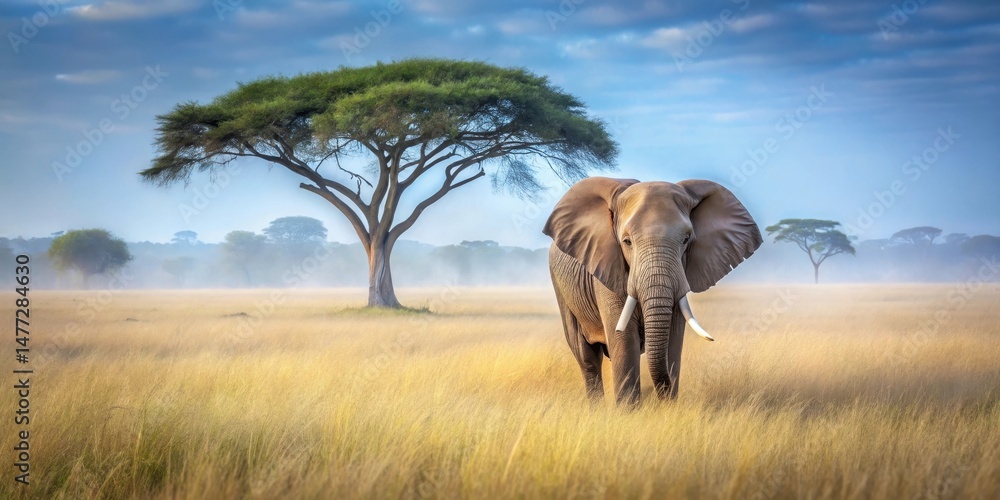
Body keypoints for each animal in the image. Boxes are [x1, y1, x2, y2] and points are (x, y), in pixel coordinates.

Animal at [544, 177, 762, 405]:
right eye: (627, 241)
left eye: (686, 240)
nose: (660, 395)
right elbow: (623, 338)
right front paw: (628, 409)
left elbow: (673, 337)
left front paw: (668, 407)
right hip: (561, 287)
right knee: (587, 358)